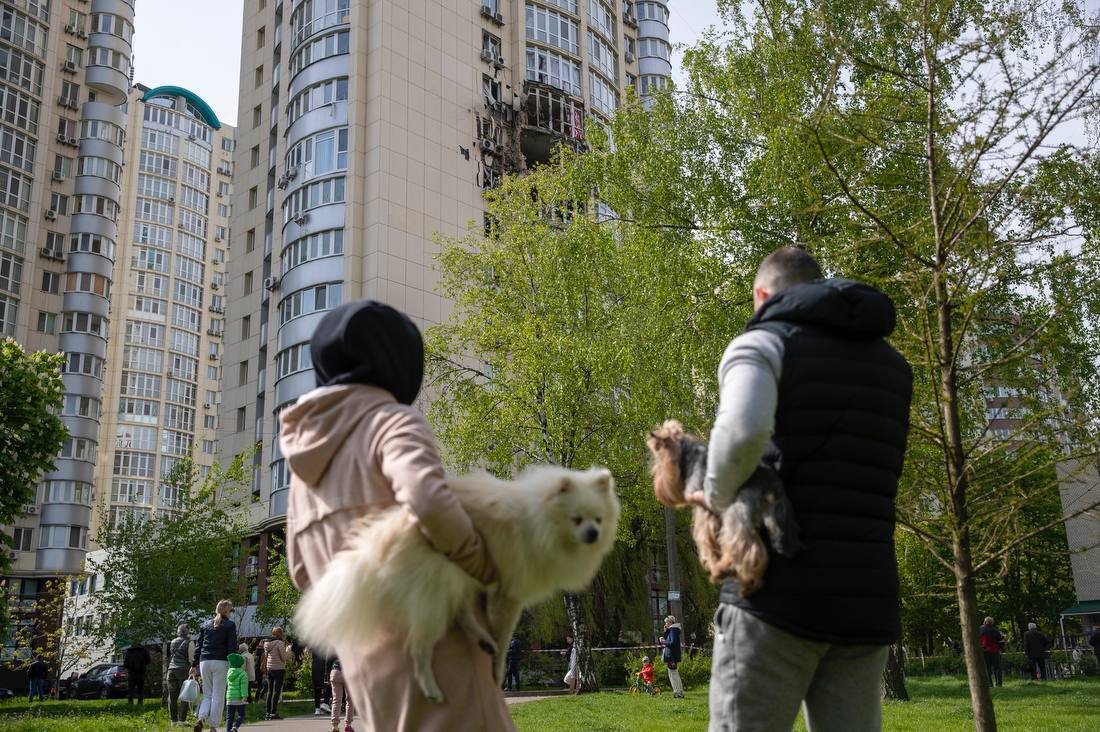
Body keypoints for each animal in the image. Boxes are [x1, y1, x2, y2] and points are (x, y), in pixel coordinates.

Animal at [294, 464, 620, 700]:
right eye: (577, 519)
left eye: (598, 519)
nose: (593, 534)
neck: (539, 521)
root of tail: (377, 550)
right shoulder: (510, 593)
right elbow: (505, 637)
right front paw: (497, 669)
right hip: (438, 588)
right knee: (420, 647)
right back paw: (431, 688)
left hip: (457, 578)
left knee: (460, 612)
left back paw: (481, 639)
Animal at [646, 420, 796, 598]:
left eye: (659, 464)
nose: (657, 486)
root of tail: (771, 481)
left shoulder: (704, 509)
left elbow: (705, 539)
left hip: (737, 509)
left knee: (746, 545)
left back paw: (728, 571)